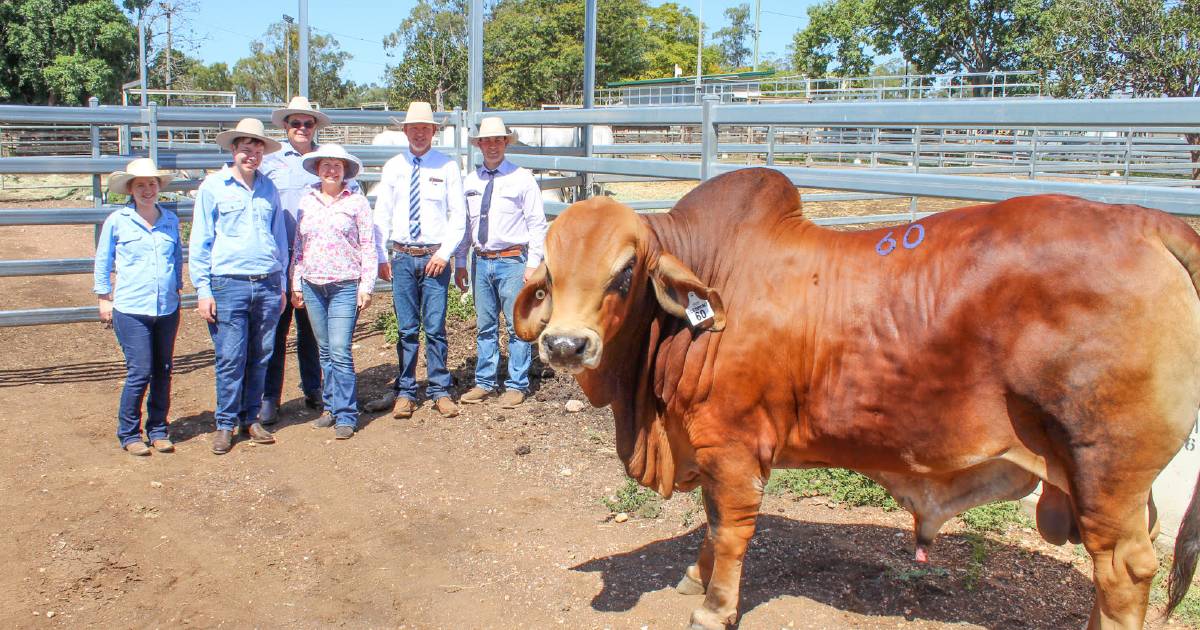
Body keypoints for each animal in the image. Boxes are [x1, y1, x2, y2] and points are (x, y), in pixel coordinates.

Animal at [518, 166, 1200, 628]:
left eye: (624, 273)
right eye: (550, 272)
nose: (565, 345)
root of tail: (1148, 222)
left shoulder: (732, 447)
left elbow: (729, 529)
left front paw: (714, 607)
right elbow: (708, 527)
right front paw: (694, 578)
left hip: (1106, 467)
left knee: (1125, 571)